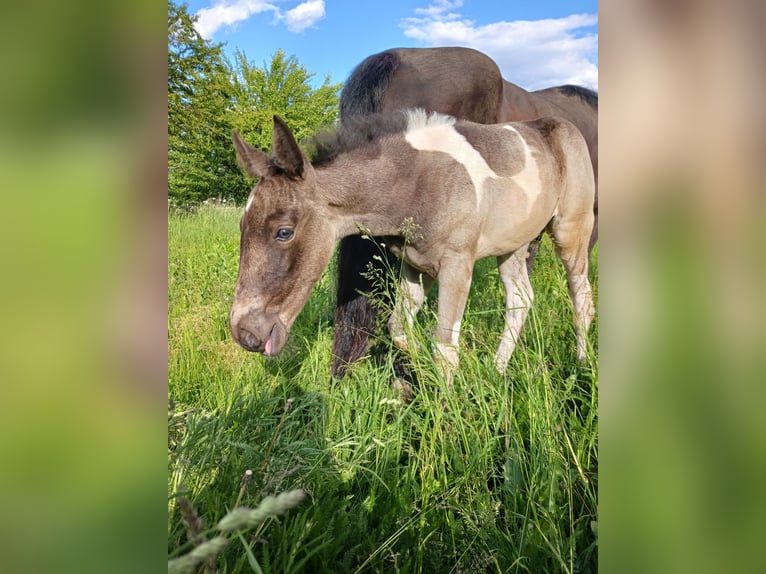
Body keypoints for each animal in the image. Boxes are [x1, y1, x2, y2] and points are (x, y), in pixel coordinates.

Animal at [229, 110, 595, 382]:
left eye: (284, 232)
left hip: (571, 230)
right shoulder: (415, 266)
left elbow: (445, 350)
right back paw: (497, 369)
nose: (244, 334)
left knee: (582, 296)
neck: (415, 184)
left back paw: (582, 366)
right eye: (241, 226)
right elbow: (399, 329)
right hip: (514, 245)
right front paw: (419, 369)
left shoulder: (457, 266)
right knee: (520, 299)